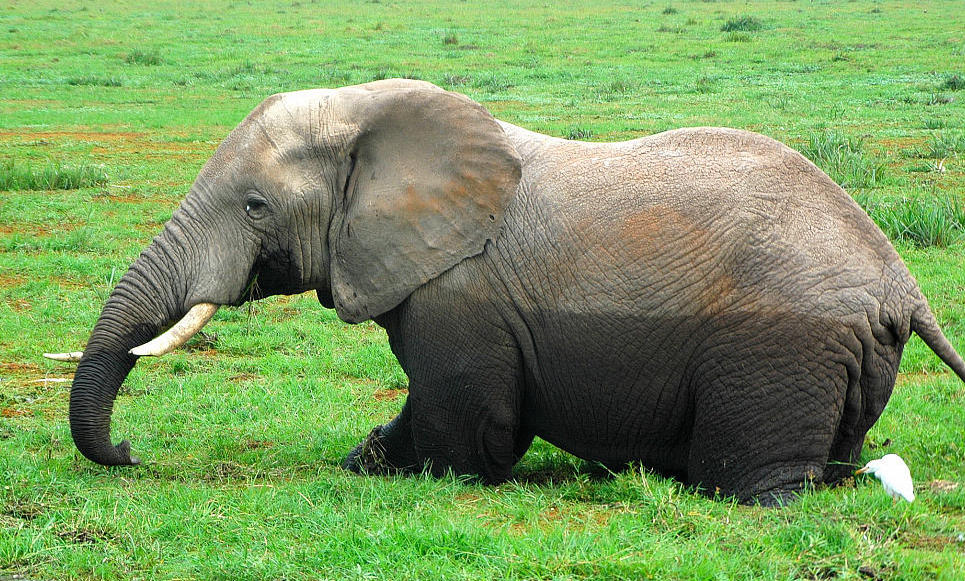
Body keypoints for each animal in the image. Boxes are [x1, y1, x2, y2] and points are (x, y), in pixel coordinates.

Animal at [48, 79, 965, 505]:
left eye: (254, 206)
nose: (129, 451)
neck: (374, 119)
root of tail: (899, 280)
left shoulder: (460, 295)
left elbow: (473, 424)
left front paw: (407, 467)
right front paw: (363, 457)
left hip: (780, 342)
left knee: (749, 482)